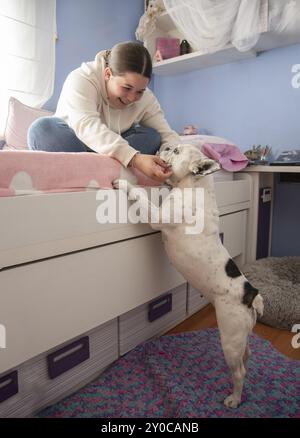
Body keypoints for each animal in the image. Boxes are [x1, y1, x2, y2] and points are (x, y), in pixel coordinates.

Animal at [113, 144, 264, 408]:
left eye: (175, 150)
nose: (163, 145)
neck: (194, 184)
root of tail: (250, 295)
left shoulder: (157, 217)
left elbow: (141, 196)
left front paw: (124, 183)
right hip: (241, 335)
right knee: (247, 354)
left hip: (229, 336)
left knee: (238, 372)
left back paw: (234, 399)